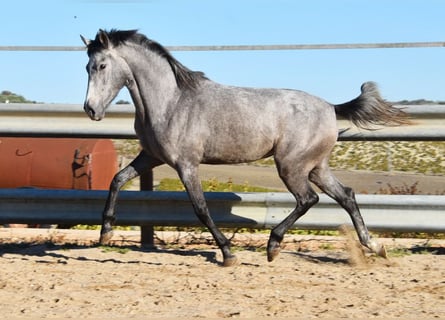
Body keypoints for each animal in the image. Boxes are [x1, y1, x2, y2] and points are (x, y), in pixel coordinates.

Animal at [80, 29, 410, 264]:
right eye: (87, 67)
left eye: (102, 65)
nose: (90, 110)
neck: (171, 102)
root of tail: (331, 107)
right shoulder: (151, 157)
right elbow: (116, 180)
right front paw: (106, 233)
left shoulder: (186, 165)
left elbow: (200, 208)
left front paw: (228, 254)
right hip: (316, 167)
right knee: (346, 196)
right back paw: (375, 246)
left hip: (291, 166)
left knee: (308, 199)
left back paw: (273, 246)